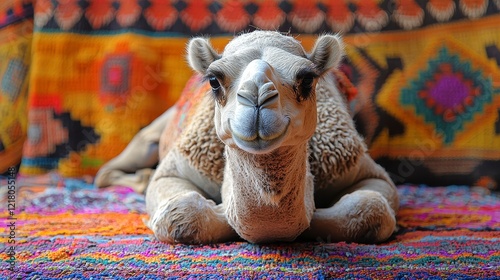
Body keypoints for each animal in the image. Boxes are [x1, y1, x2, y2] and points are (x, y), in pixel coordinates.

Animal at [94, 30, 398, 244]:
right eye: (214, 80)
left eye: (307, 79)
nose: (257, 99)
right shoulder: (178, 168)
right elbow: (180, 215)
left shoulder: (356, 165)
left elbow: (372, 210)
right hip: (150, 139)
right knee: (106, 173)